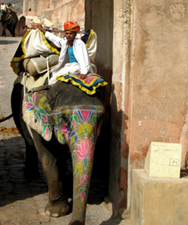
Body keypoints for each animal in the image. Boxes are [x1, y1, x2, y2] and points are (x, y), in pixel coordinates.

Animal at [10, 74, 107, 224]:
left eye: (101, 119)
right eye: (64, 118)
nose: (74, 223)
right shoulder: (41, 124)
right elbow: (48, 158)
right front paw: (55, 213)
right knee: (29, 141)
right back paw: (31, 175)